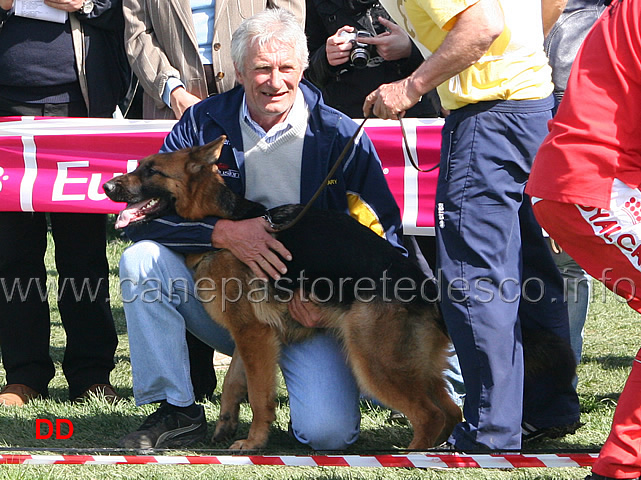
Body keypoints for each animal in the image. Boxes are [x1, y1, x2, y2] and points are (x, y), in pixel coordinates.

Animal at [104, 138, 576, 450]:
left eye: (151, 171)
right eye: (139, 166)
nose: (108, 187)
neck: (220, 223)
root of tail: (421, 281)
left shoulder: (255, 337)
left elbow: (259, 395)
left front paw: (254, 443)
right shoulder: (250, 337)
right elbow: (235, 383)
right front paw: (224, 428)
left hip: (373, 361)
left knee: (431, 412)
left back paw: (411, 455)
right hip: (408, 363)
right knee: (449, 408)